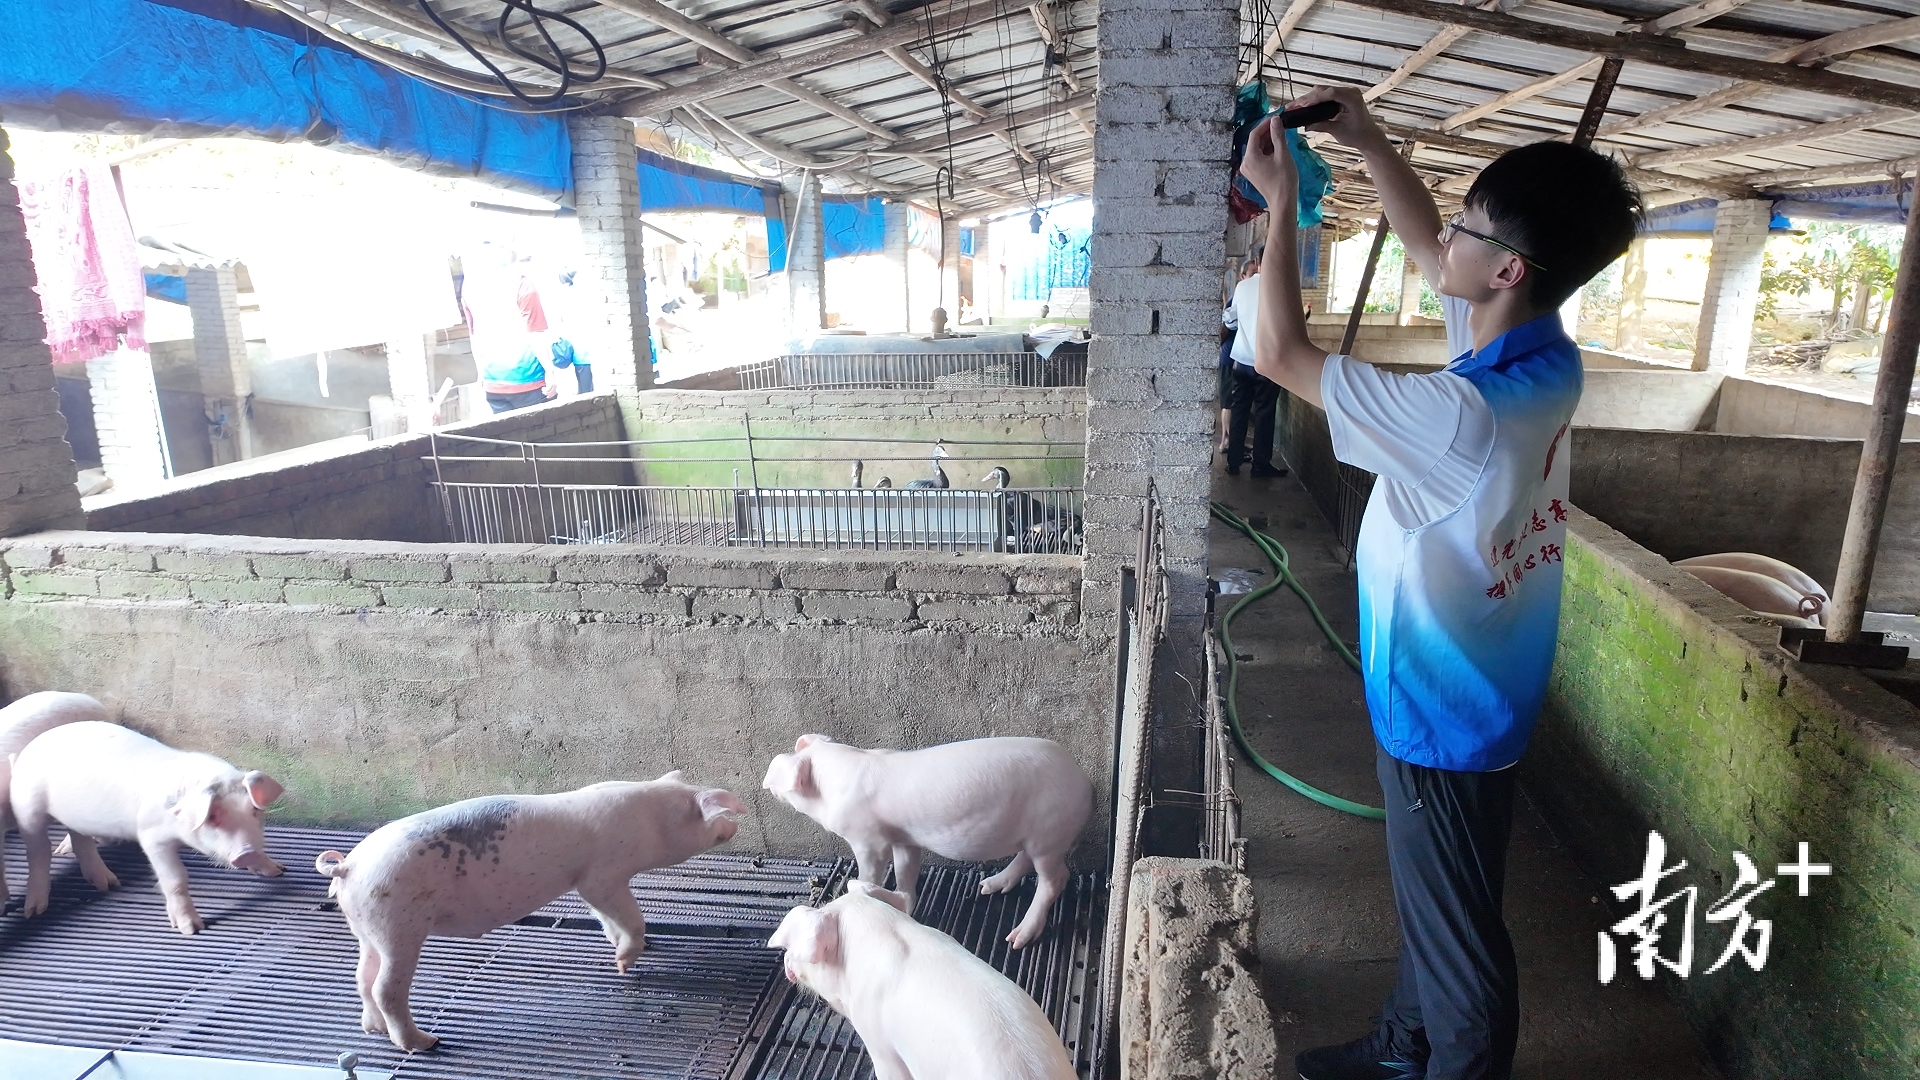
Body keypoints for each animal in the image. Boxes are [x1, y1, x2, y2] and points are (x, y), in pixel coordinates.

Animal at [8, 720, 285, 934]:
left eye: (254, 811)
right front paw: (192, 929)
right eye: (213, 816)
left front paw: (278, 871)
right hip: (26, 807)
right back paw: (35, 910)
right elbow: (175, 878)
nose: (246, 852)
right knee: (38, 851)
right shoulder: (152, 837)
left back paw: (108, 884)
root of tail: (27, 749)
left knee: (81, 839)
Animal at [313, 772, 747, 1052]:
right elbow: (626, 913)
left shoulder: (586, 884)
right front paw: (625, 964)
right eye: (707, 812)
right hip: (397, 924)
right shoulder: (602, 873)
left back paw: (372, 1030)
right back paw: (424, 1043)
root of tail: (348, 867)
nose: (734, 825)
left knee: (363, 977)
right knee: (386, 987)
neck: (651, 819)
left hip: (367, 927)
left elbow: (606, 917)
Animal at [762, 735, 1092, 949]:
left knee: (1056, 878)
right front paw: (903, 901)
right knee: (1025, 859)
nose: (770, 773)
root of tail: (1084, 783)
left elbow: (871, 869)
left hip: (1048, 830)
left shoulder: (868, 839)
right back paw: (987, 887)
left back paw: (1016, 939)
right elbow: (906, 873)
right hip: (1036, 835)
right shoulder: (904, 840)